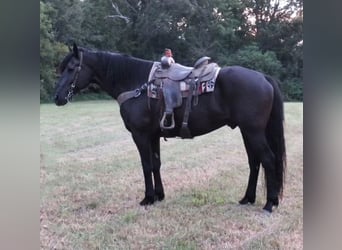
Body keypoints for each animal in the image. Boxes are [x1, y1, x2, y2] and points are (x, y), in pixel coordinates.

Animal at [54, 44, 286, 212]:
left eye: (72, 68)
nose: (57, 97)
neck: (137, 83)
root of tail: (263, 77)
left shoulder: (140, 135)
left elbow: (146, 165)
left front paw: (147, 198)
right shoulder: (153, 135)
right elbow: (156, 164)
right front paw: (159, 195)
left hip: (253, 131)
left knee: (268, 159)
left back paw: (269, 203)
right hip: (247, 132)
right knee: (254, 162)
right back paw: (248, 198)